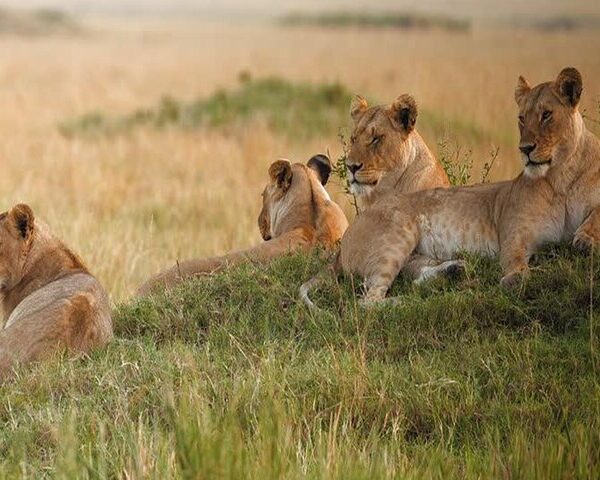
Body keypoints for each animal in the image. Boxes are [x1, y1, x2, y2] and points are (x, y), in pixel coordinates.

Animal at [302, 67, 600, 306]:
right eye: (353, 139)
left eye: (376, 139)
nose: (351, 166)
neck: (560, 177)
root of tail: (343, 244)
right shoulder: (513, 236)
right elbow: (514, 258)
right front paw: (517, 278)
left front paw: (585, 240)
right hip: (397, 238)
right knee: (368, 300)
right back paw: (408, 301)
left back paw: (453, 272)